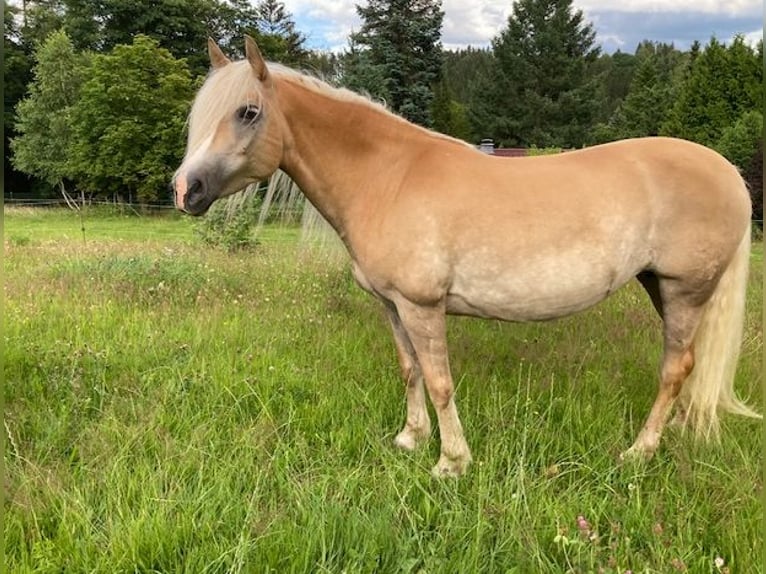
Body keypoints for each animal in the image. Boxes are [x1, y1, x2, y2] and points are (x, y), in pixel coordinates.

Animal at [171, 35, 760, 476]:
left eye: (248, 111)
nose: (185, 189)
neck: (387, 177)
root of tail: (727, 171)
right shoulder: (393, 305)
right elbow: (410, 370)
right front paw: (410, 440)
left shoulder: (422, 306)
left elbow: (439, 381)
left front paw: (451, 462)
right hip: (663, 287)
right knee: (690, 363)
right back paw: (679, 429)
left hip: (684, 289)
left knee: (674, 367)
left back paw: (641, 450)